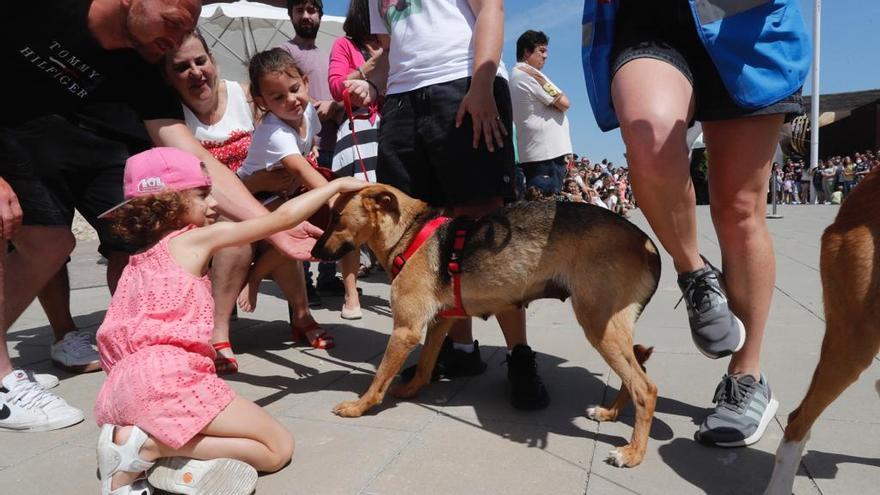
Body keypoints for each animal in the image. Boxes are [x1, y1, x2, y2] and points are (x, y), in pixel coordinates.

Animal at [312, 184, 660, 466]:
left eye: (337, 218)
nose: (313, 252)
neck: (410, 233)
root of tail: (645, 242)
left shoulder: (405, 330)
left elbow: (379, 379)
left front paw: (358, 406)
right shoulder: (440, 322)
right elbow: (425, 364)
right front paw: (412, 390)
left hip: (598, 323)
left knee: (645, 388)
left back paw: (632, 454)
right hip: (611, 327)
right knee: (636, 374)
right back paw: (610, 413)